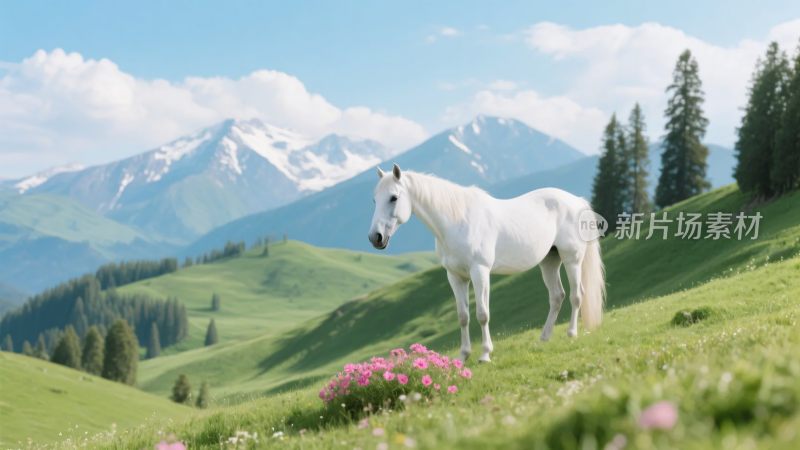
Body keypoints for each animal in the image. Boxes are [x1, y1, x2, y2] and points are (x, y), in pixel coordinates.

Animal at [368, 164, 605, 362]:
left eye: (393, 198)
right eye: (374, 200)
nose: (375, 238)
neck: (458, 221)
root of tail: (576, 201)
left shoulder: (480, 272)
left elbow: (482, 314)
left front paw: (484, 355)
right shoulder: (455, 277)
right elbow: (463, 316)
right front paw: (463, 356)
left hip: (572, 259)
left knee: (576, 295)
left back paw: (572, 333)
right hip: (549, 261)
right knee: (557, 296)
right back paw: (544, 338)